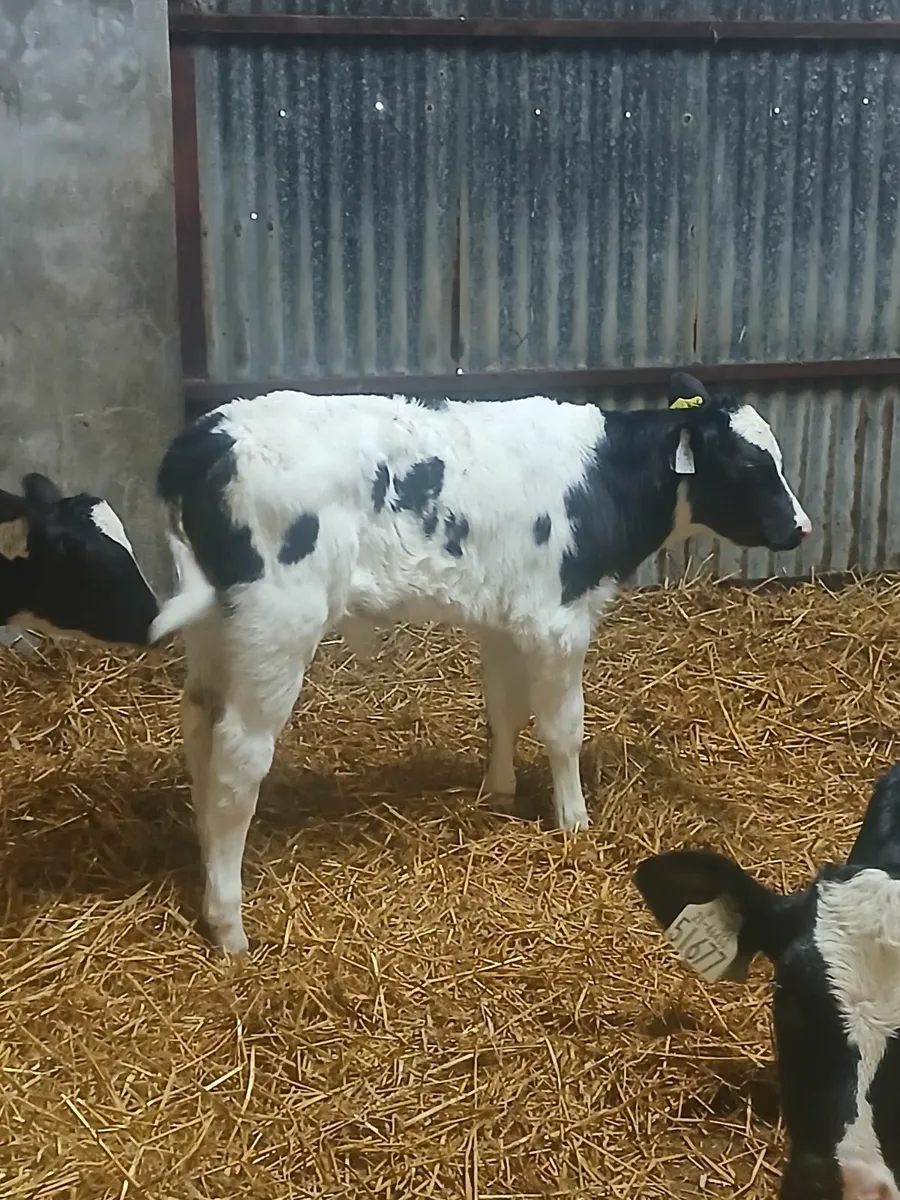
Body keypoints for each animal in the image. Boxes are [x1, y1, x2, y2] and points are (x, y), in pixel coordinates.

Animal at [147, 371, 811, 953]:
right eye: (749, 465)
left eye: (778, 457)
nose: (802, 528)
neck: (604, 478)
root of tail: (207, 433)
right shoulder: (558, 619)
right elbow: (563, 729)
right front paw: (574, 822)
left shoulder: (505, 617)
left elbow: (503, 711)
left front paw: (499, 793)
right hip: (276, 623)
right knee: (238, 760)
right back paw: (229, 925)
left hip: (215, 629)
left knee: (199, 729)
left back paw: (207, 858)